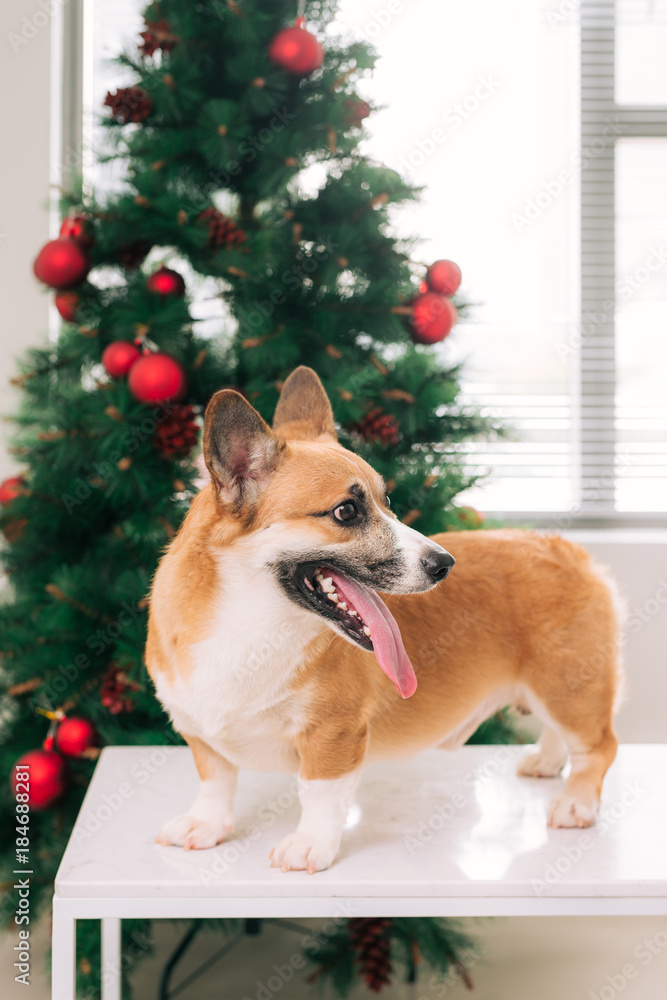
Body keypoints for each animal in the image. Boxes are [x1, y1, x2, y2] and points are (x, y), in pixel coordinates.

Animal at [146, 370, 620, 876]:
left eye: (387, 498)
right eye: (346, 511)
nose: (445, 564)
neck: (249, 627)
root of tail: (569, 550)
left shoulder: (334, 733)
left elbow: (319, 793)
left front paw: (310, 845)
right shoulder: (198, 732)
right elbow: (215, 781)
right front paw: (206, 826)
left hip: (568, 687)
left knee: (598, 745)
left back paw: (576, 803)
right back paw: (546, 762)